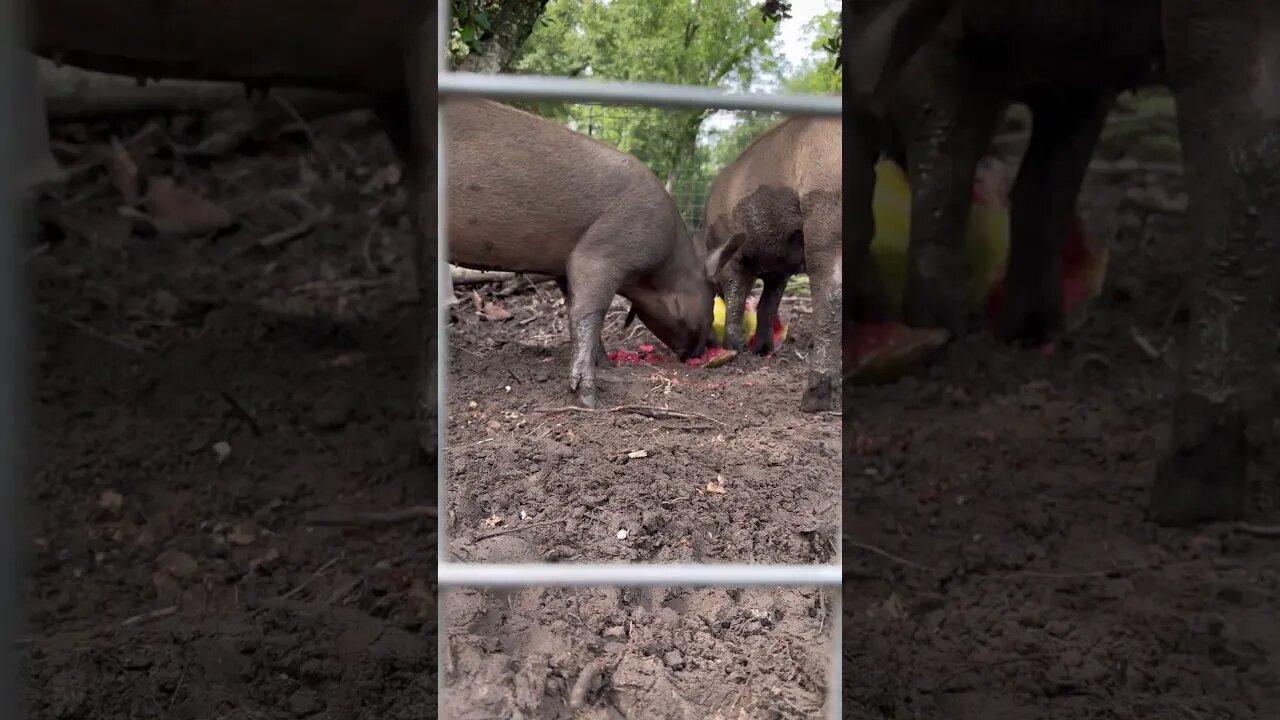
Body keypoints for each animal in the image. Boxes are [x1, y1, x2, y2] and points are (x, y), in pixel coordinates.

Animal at [445, 97, 737, 407]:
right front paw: (589, 400)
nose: (713, 344)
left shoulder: (565, 268)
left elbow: (575, 309)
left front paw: (610, 368)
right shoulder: (604, 250)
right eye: (713, 295)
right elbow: (589, 312)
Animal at [696, 114, 844, 412]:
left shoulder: (735, 260)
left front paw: (734, 349)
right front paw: (763, 351)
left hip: (824, 212)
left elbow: (737, 298)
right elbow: (767, 304)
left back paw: (813, 400)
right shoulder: (780, 269)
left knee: (831, 297)